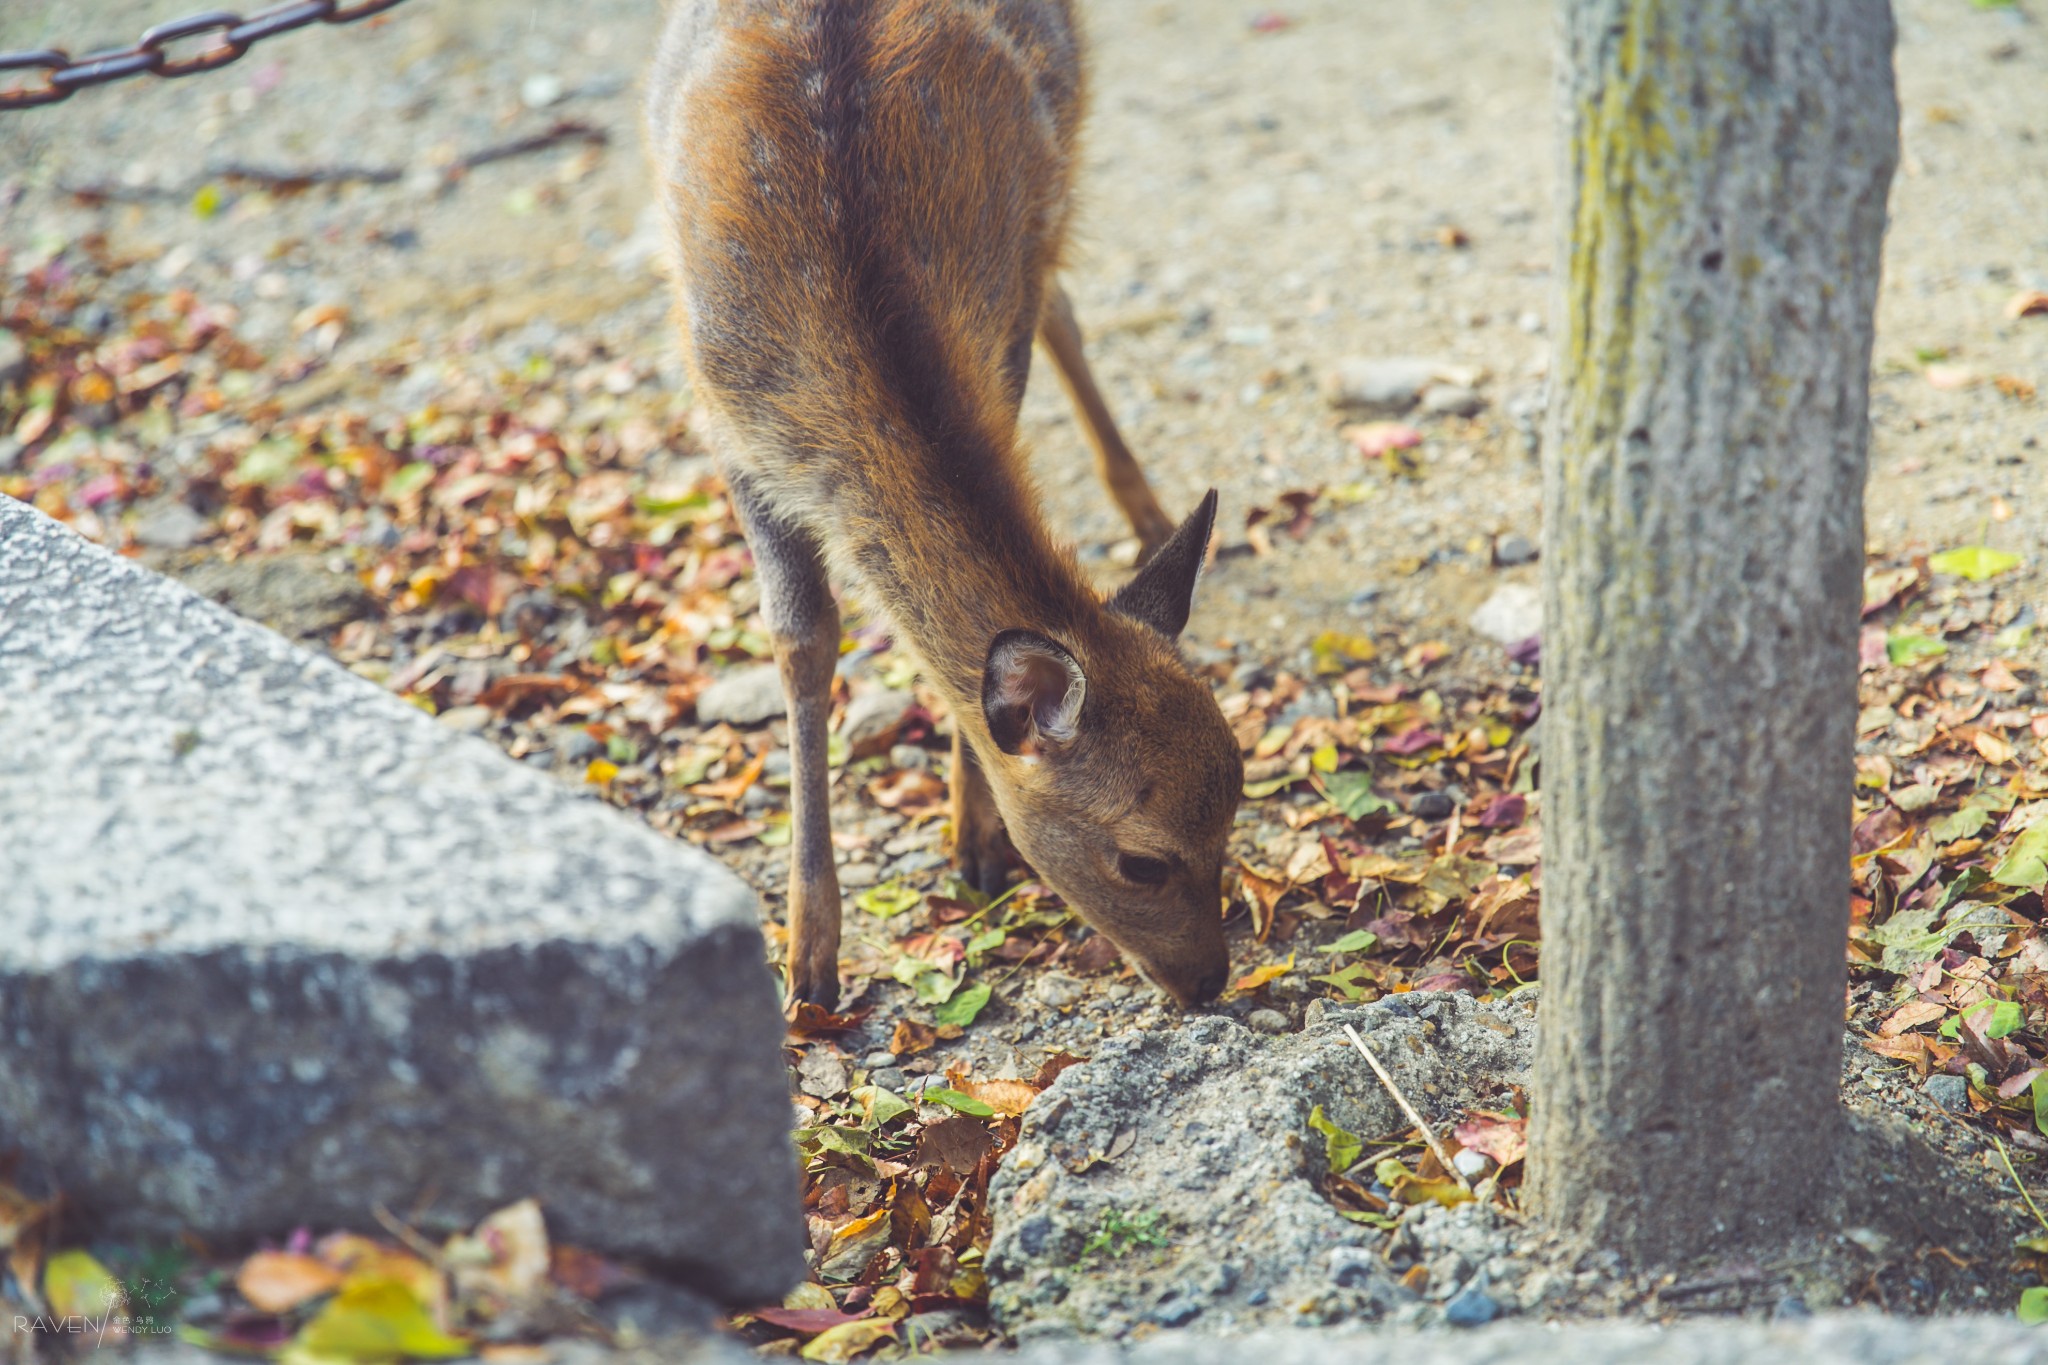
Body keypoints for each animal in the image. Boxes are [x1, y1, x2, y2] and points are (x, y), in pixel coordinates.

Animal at [647, 2, 1236, 1015]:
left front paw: (976, 839)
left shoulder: (997, 329)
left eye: (1235, 819)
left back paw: (1152, 513)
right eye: (1143, 860)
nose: (1212, 980)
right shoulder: (723, 418)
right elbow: (801, 639)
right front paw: (808, 961)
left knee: (1063, 299)